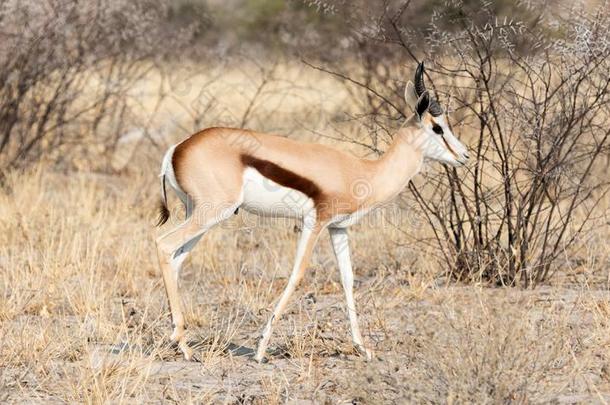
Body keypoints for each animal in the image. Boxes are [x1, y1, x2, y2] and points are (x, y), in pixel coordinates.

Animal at [154, 64, 468, 362]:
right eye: (438, 127)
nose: (464, 155)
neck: (364, 171)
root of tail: (176, 149)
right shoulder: (314, 222)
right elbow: (298, 273)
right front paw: (260, 350)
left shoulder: (338, 228)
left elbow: (348, 279)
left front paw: (363, 349)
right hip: (211, 214)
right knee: (164, 245)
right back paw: (183, 346)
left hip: (200, 216)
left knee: (176, 260)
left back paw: (179, 342)